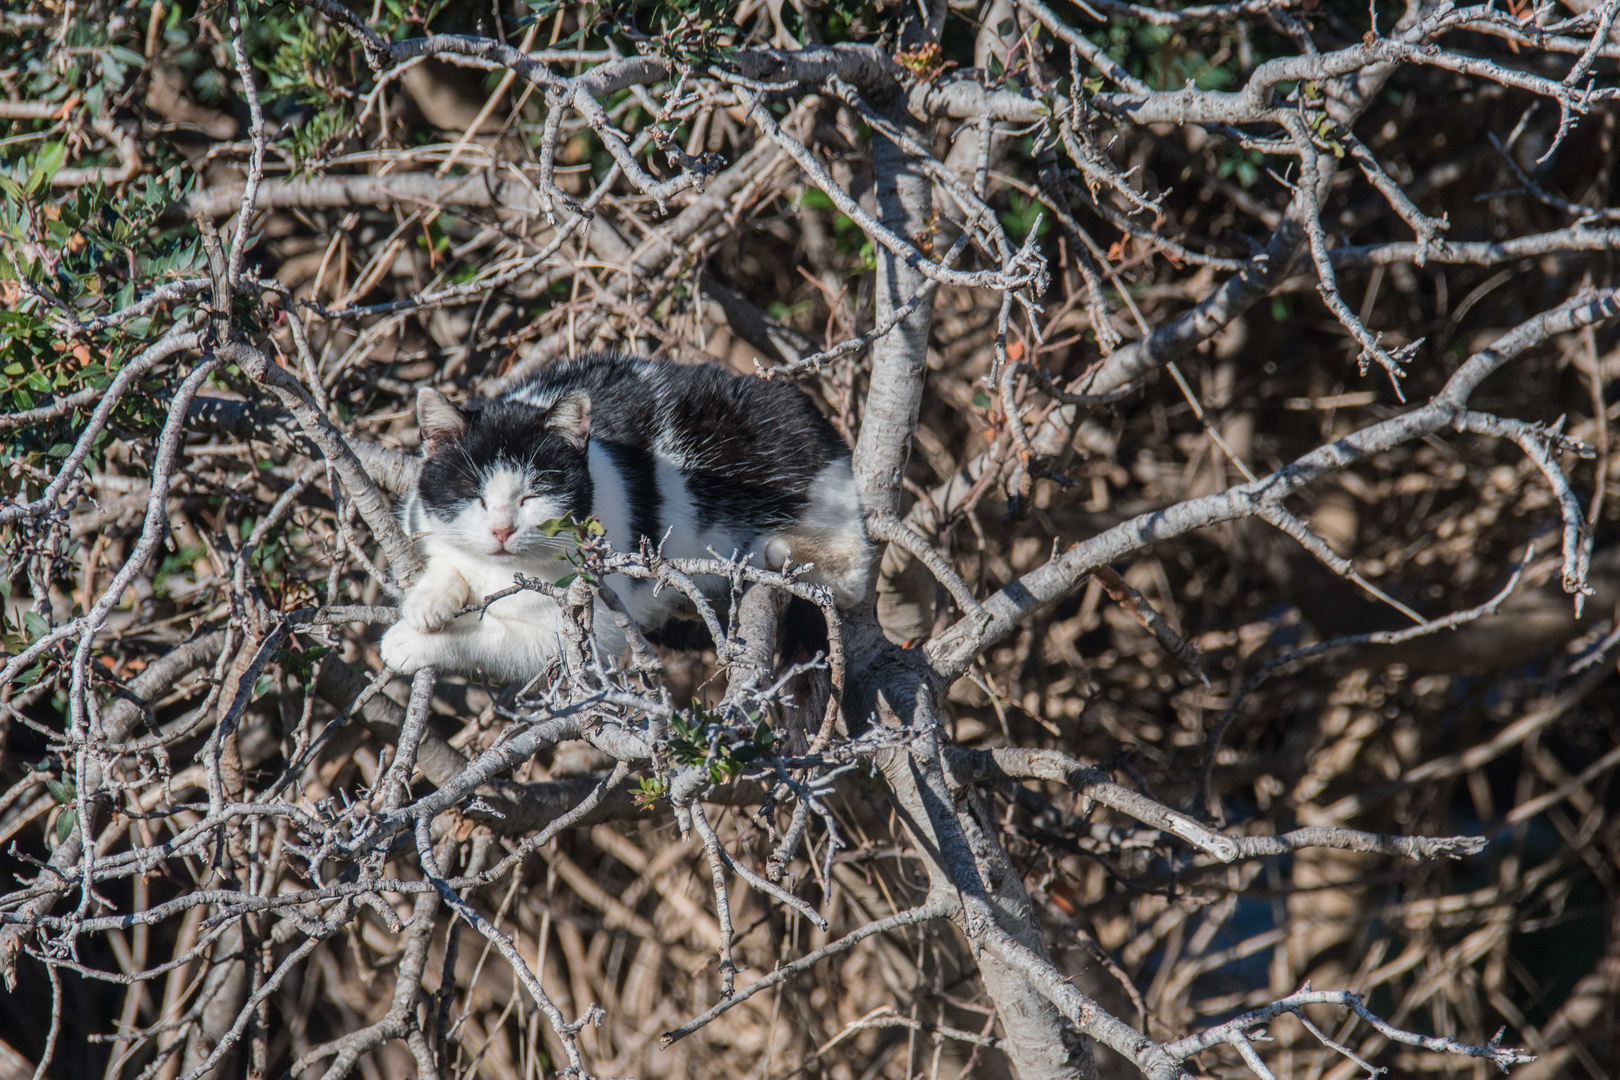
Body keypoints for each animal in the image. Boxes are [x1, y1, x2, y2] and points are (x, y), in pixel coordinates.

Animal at [380, 352, 874, 683]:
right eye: (474, 497)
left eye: (533, 495)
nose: (502, 530)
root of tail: (826, 429)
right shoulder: (420, 517)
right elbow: (446, 557)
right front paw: (427, 601)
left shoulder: (586, 624)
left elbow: (490, 638)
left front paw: (410, 641)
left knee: (852, 575)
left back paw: (781, 552)